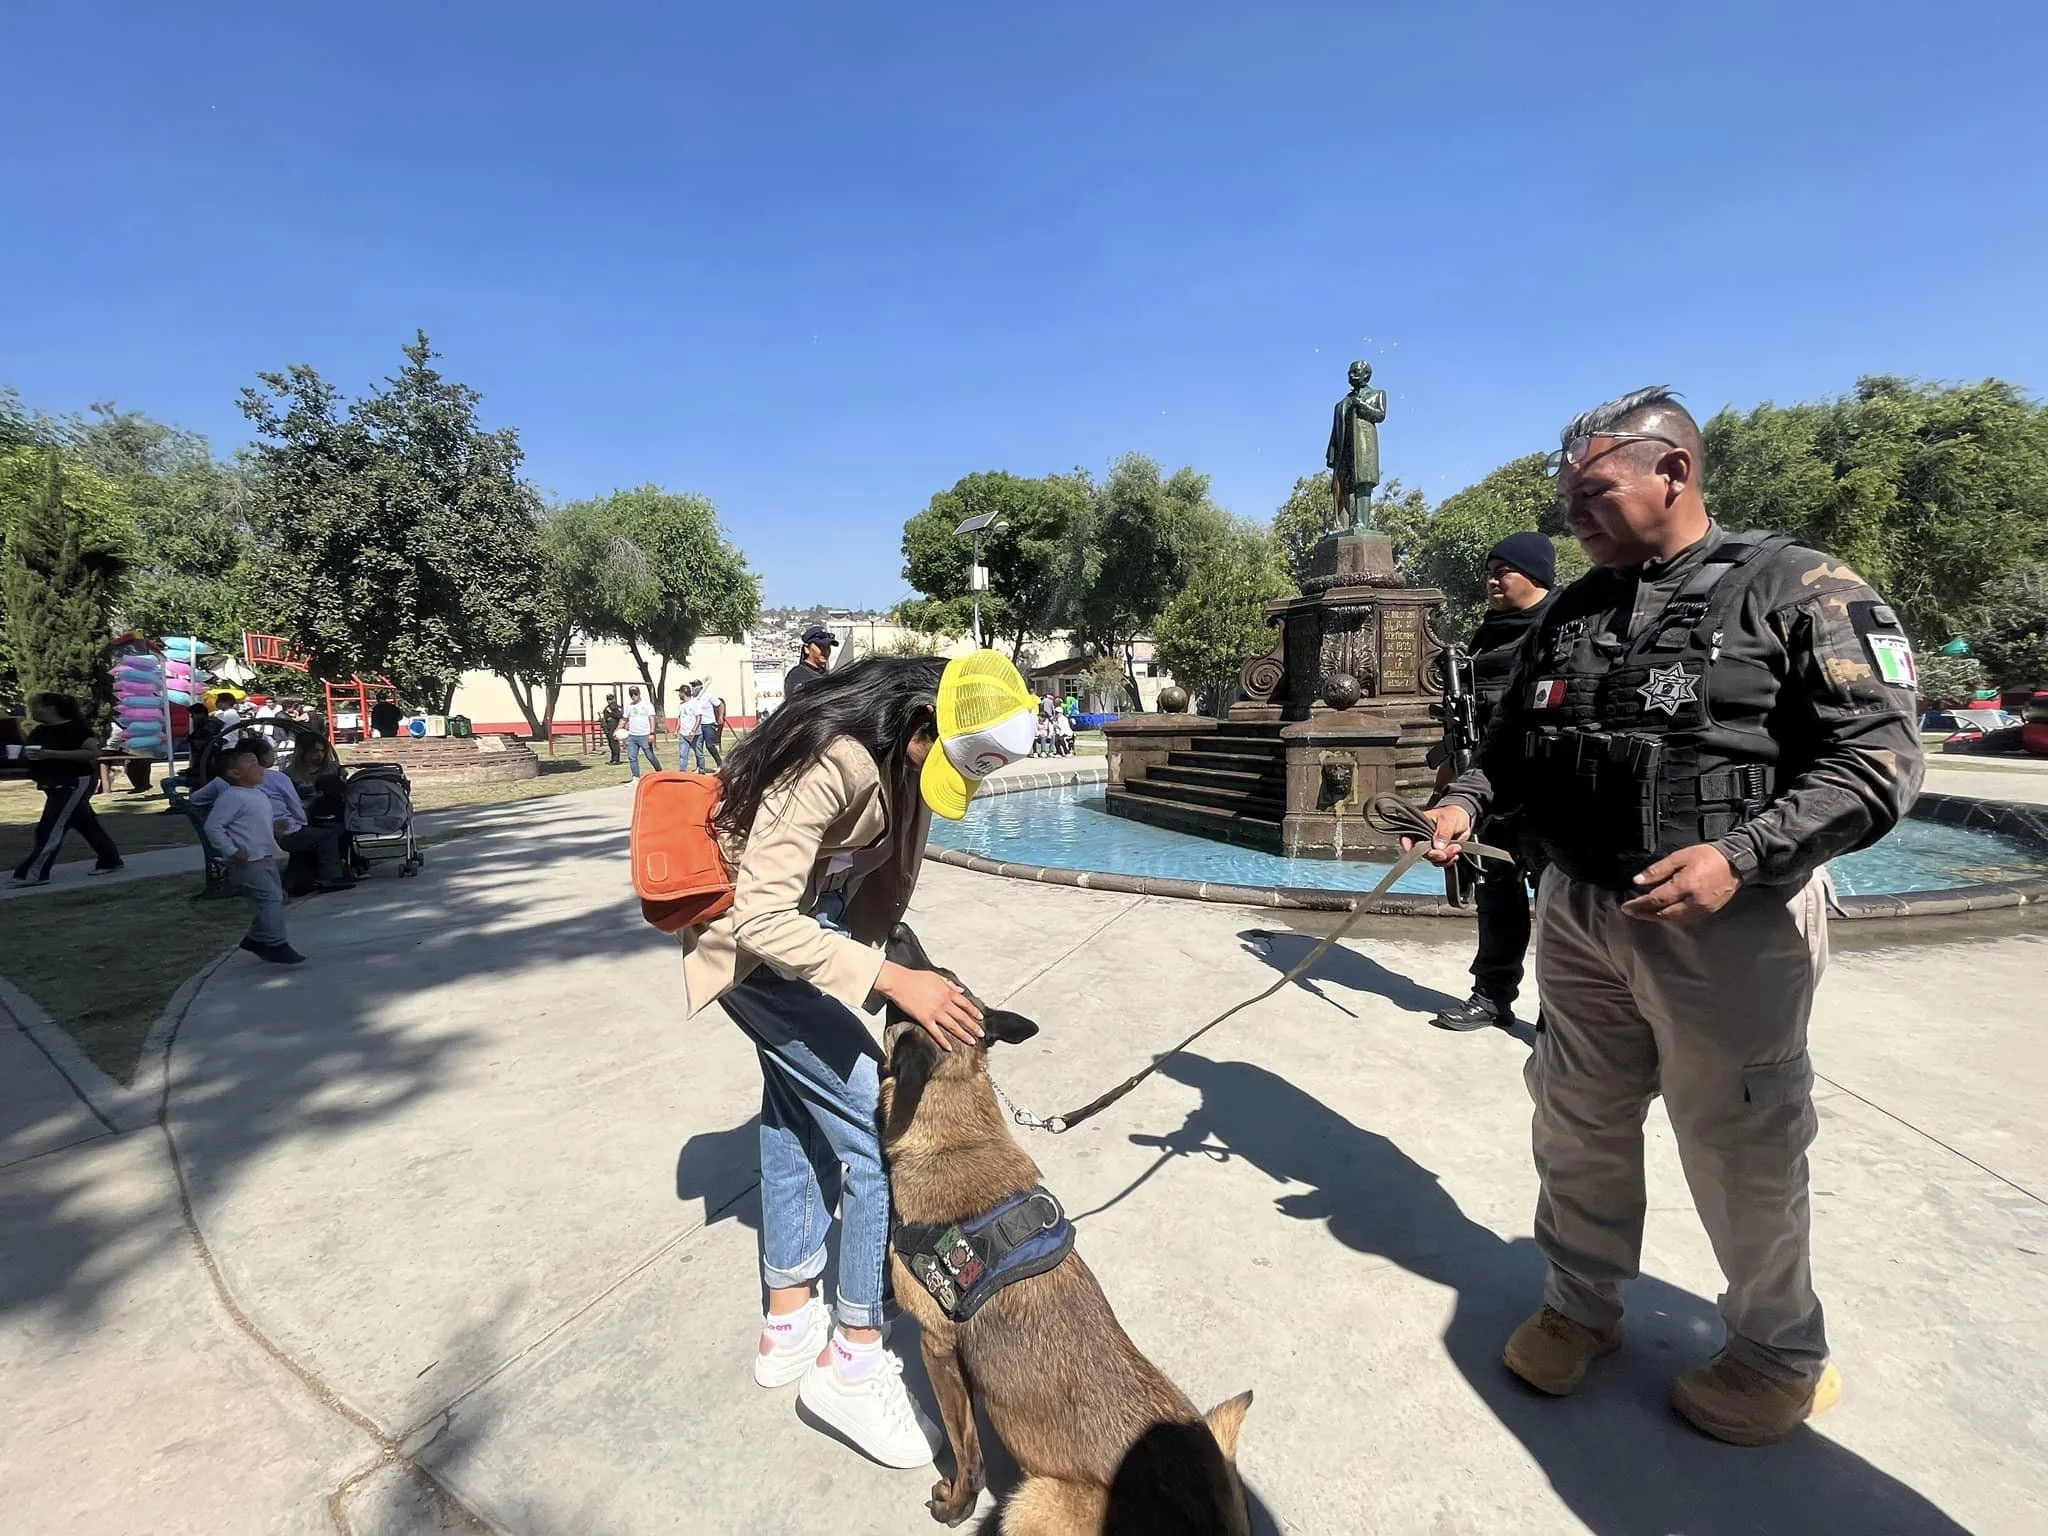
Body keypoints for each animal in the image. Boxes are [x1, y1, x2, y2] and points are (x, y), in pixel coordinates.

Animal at [880, 933, 1245, 1531]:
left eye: (921, 983)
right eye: (941, 974)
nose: (898, 931)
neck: (956, 1128)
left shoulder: (937, 1348)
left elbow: (967, 1451)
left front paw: (956, 1505)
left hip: (1032, 1499)